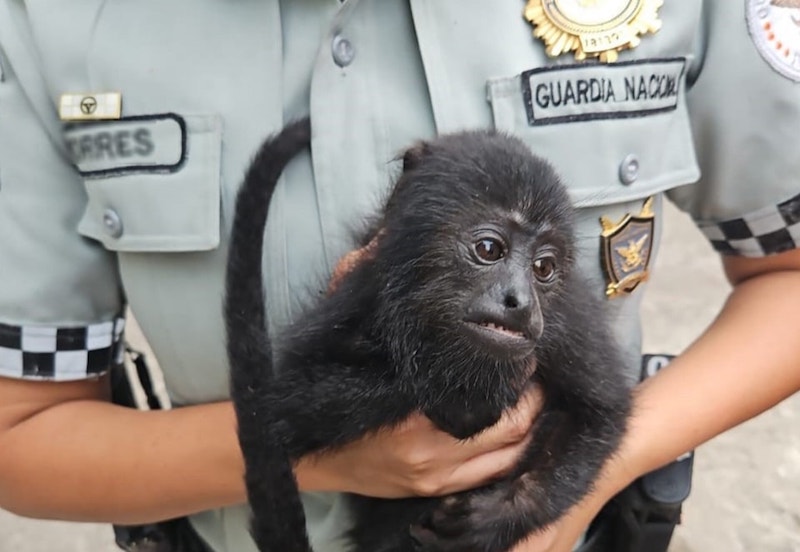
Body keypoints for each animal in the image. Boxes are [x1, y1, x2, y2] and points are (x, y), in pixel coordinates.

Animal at [224, 117, 632, 552]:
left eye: (543, 268)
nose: (520, 301)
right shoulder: (365, 288)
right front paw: (463, 392)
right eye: (489, 249)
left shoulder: (568, 322)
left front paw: (493, 517)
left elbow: (603, 412)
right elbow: (289, 404)